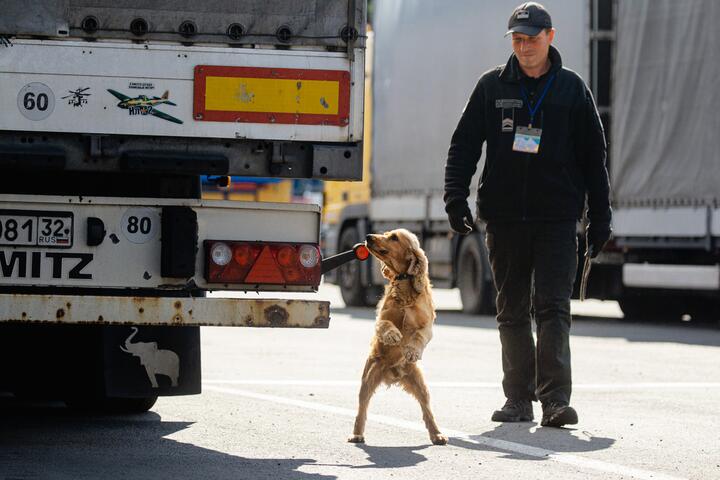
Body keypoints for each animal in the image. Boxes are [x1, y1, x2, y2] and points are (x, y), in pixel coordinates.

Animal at [348, 229, 448, 446]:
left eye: (394, 237)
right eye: (385, 233)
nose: (368, 237)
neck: (404, 284)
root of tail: (393, 374)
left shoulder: (427, 326)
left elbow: (418, 336)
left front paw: (411, 351)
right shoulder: (380, 319)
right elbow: (387, 325)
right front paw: (394, 336)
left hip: (421, 385)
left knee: (427, 411)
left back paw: (437, 434)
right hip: (368, 379)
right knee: (362, 409)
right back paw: (356, 434)